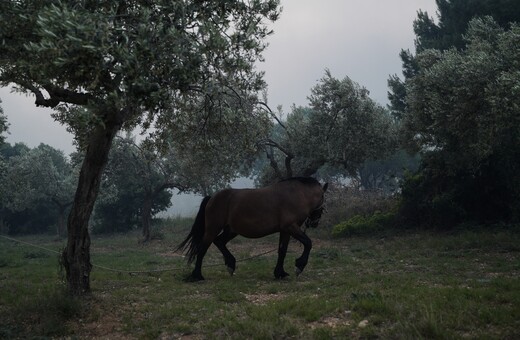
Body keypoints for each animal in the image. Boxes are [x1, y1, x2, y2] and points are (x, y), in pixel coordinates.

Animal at [177, 177, 328, 280]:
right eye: (323, 199)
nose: (315, 222)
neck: (296, 195)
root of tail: (212, 197)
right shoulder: (290, 227)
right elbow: (308, 243)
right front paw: (299, 266)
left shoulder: (285, 231)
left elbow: (282, 251)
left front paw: (280, 273)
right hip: (212, 229)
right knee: (202, 249)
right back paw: (197, 275)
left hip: (231, 230)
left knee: (219, 242)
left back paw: (230, 264)